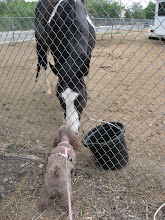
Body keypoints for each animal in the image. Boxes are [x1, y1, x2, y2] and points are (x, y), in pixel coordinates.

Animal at [34, 0, 95, 132]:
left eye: (81, 97)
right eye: (59, 98)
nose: (71, 131)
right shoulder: (57, 55)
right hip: (40, 43)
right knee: (44, 64)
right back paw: (48, 88)